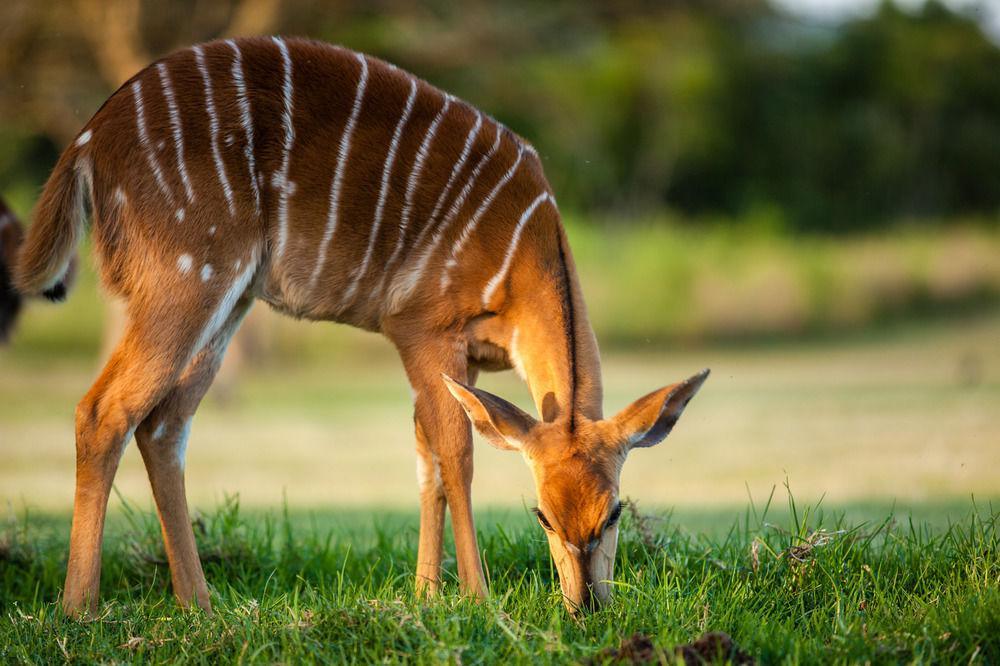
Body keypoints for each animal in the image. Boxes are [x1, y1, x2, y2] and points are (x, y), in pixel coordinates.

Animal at [11, 36, 708, 616]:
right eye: (541, 516)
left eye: (614, 512)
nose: (586, 606)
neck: (522, 248)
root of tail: (87, 139)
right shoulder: (421, 328)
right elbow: (456, 452)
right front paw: (477, 598)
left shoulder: (463, 361)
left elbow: (427, 453)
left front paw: (427, 595)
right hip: (186, 276)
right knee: (105, 409)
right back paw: (81, 609)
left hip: (227, 301)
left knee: (164, 423)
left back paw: (199, 605)